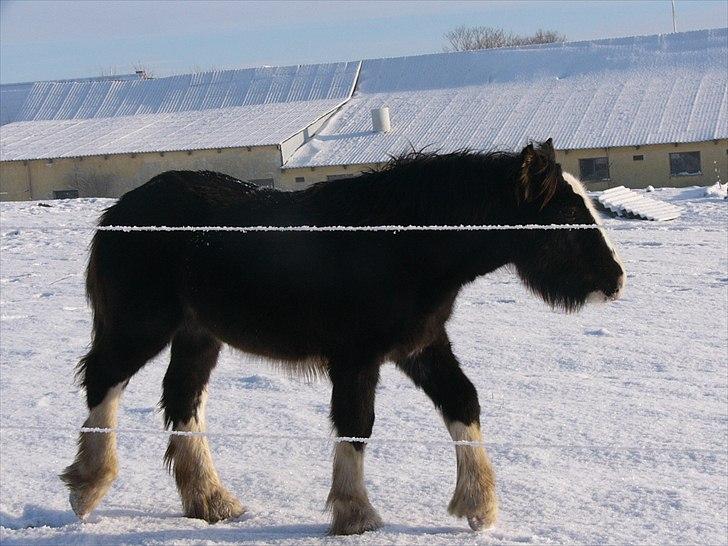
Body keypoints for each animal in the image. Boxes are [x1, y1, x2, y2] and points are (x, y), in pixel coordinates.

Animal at [59, 139, 624, 532]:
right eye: (569, 215)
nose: (615, 281)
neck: (402, 240)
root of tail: (117, 214)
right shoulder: (357, 357)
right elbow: (356, 425)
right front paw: (355, 514)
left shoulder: (421, 346)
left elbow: (463, 402)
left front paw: (479, 506)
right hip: (140, 327)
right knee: (104, 381)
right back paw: (88, 486)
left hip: (198, 335)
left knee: (182, 399)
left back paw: (212, 502)